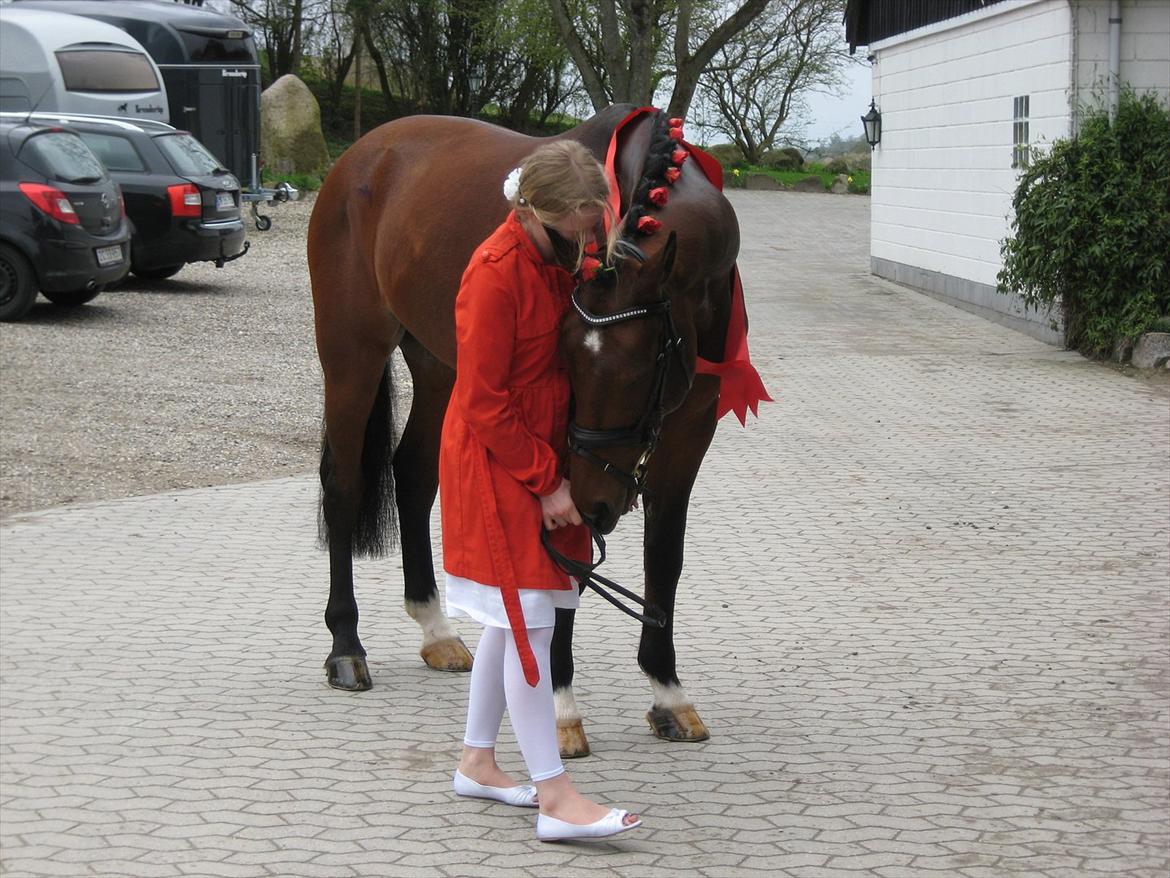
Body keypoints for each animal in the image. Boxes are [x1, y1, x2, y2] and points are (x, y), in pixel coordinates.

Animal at [306, 106, 758, 758]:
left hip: (441, 366)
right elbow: (566, 561)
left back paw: (436, 629)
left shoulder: (689, 430)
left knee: (412, 475)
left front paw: (667, 692)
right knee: (343, 484)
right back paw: (346, 646)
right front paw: (559, 705)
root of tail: (364, 154)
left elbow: (664, 557)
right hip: (352, 355)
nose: (599, 502)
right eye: (565, 362)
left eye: (641, 367)